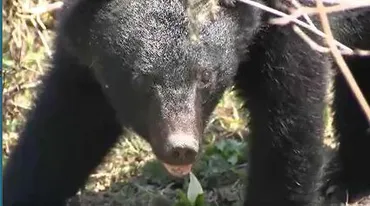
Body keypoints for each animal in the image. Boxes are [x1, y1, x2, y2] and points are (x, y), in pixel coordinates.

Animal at [2, 0, 370, 205]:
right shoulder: (84, 51)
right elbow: (64, 129)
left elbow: (289, 124)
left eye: (205, 77)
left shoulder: (290, 23)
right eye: (142, 80)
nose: (180, 147)